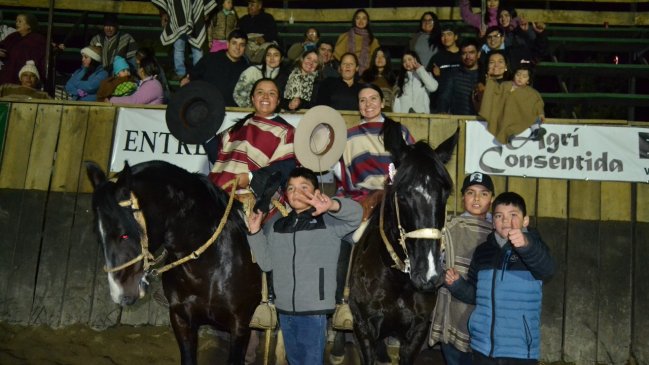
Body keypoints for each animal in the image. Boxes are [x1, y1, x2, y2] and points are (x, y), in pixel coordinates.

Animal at [344, 134, 456, 364]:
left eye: (445, 192)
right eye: (402, 194)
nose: (429, 275)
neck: (397, 279)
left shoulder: (417, 331)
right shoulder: (363, 328)